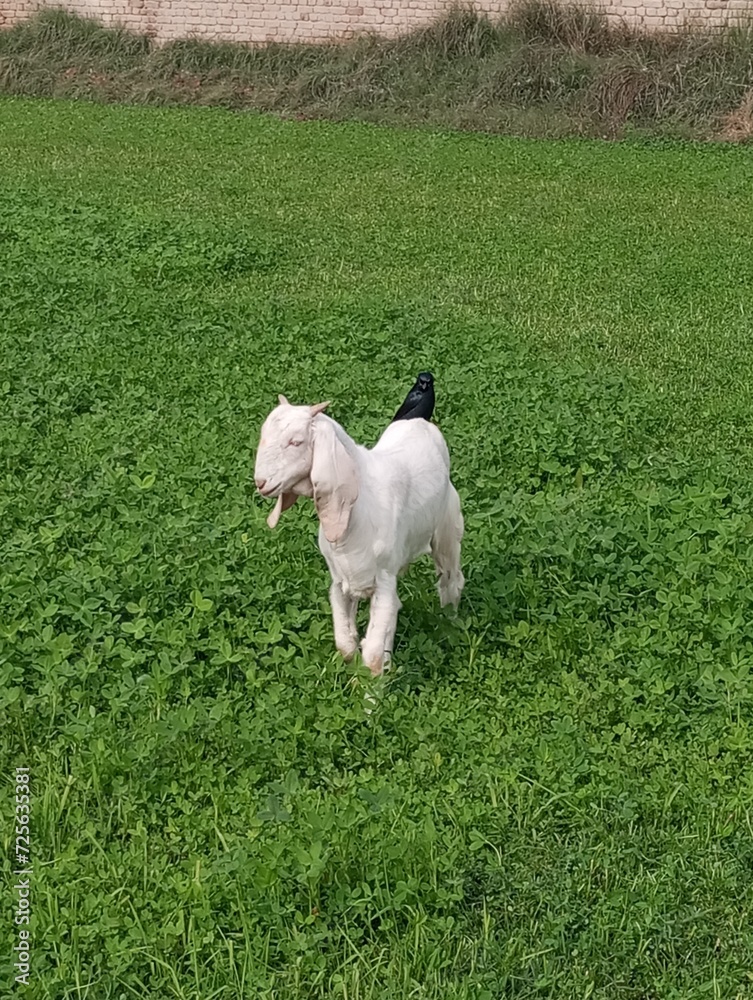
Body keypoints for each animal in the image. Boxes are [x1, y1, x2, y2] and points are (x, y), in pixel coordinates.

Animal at [254, 395, 464, 676]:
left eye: (296, 442)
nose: (260, 482)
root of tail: (419, 418)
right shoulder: (341, 581)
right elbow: (346, 644)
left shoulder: (384, 580)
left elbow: (372, 654)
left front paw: (373, 685)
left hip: (447, 530)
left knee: (451, 579)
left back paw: (449, 621)